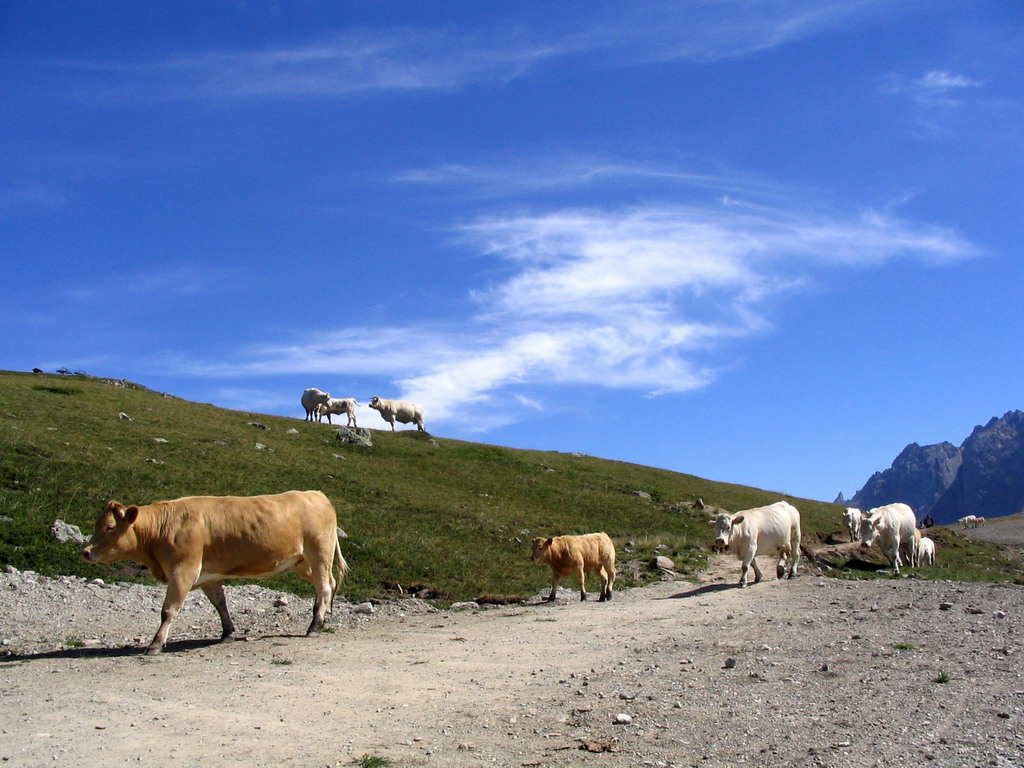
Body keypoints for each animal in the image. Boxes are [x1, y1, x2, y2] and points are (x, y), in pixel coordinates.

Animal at [78, 493, 348, 655]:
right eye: (97, 525)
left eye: (110, 527)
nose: (86, 551)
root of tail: (315, 494)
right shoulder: (208, 576)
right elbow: (220, 603)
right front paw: (227, 632)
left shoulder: (183, 570)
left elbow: (168, 610)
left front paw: (155, 644)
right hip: (300, 560)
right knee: (327, 583)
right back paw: (326, 617)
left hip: (319, 551)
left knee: (324, 586)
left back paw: (315, 625)